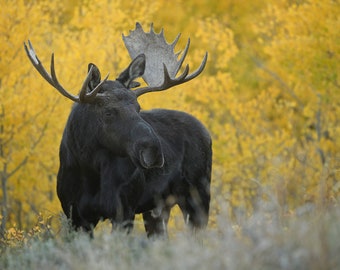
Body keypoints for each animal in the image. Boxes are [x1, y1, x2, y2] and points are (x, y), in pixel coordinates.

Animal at [24, 23, 210, 236]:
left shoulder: (124, 210)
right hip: (158, 207)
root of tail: (206, 131)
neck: (90, 171)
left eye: (138, 107)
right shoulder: (75, 215)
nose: (153, 151)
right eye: (108, 112)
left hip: (198, 196)